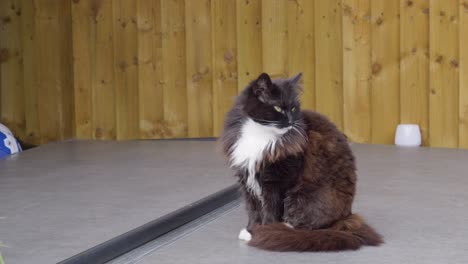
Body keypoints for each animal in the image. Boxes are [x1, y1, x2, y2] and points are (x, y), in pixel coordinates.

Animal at [218, 72, 380, 252]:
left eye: (294, 108)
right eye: (278, 108)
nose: (290, 121)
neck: (261, 134)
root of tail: (346, 218)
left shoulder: (277, 180)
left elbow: (270, 210)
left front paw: (263, 230)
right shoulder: (246, 178)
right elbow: (253, 209)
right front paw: (250, 229)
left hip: (301, 195)